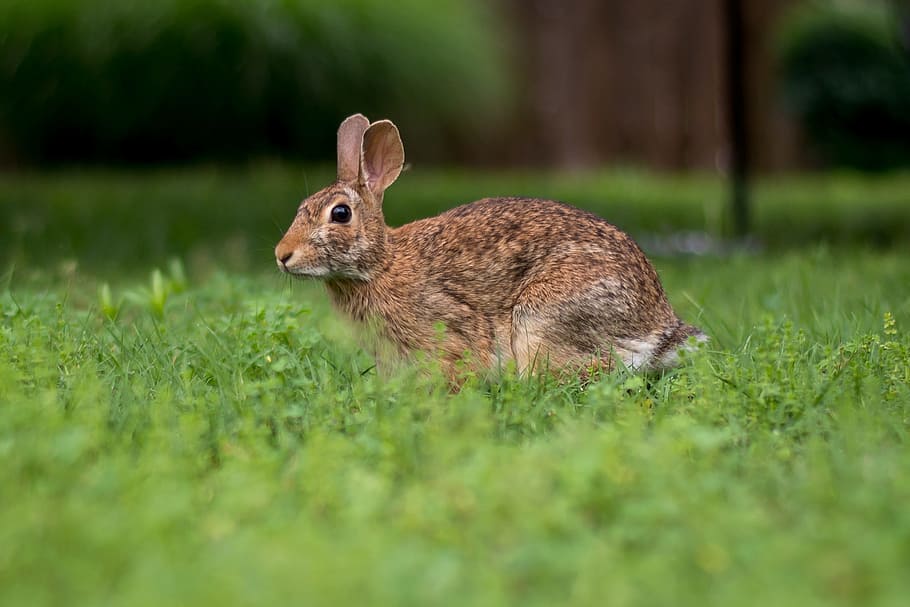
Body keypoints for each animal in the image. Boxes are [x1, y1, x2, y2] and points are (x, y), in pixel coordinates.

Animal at [275, 114, 706, 380]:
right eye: (302, 206)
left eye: (340, 213)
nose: (282, 256)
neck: (380, 265)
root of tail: (659, 329)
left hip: (542, 316)